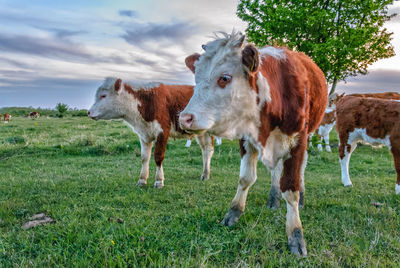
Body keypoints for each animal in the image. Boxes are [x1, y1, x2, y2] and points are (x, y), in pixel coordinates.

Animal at [180, 32, 326, 256]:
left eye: (225, 78)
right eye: (196, 78)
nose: (184, 118)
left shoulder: (298, 140)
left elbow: (290, 188)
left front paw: (295, 234)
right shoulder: (246, 138)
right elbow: (245, 179)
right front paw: (234, 212)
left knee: (300, 169)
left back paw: (300, 197)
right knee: (276, 171)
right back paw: (273, 199)